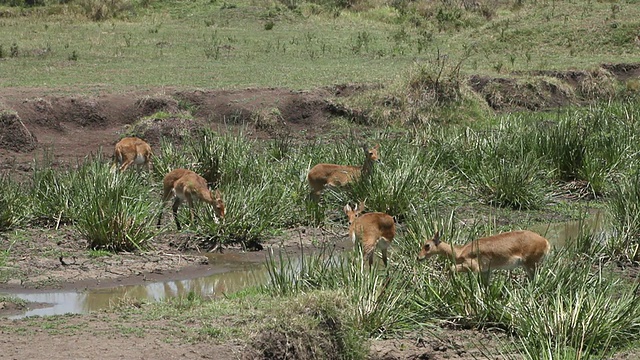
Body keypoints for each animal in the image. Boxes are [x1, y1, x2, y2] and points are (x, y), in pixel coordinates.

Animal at [416, 229, 552, 282]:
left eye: (427, 245)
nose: (418, 257)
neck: (461, 251)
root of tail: (546, 242)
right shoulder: (486, 271)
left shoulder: (473, 268)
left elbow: (450, 268)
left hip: (530, 265)